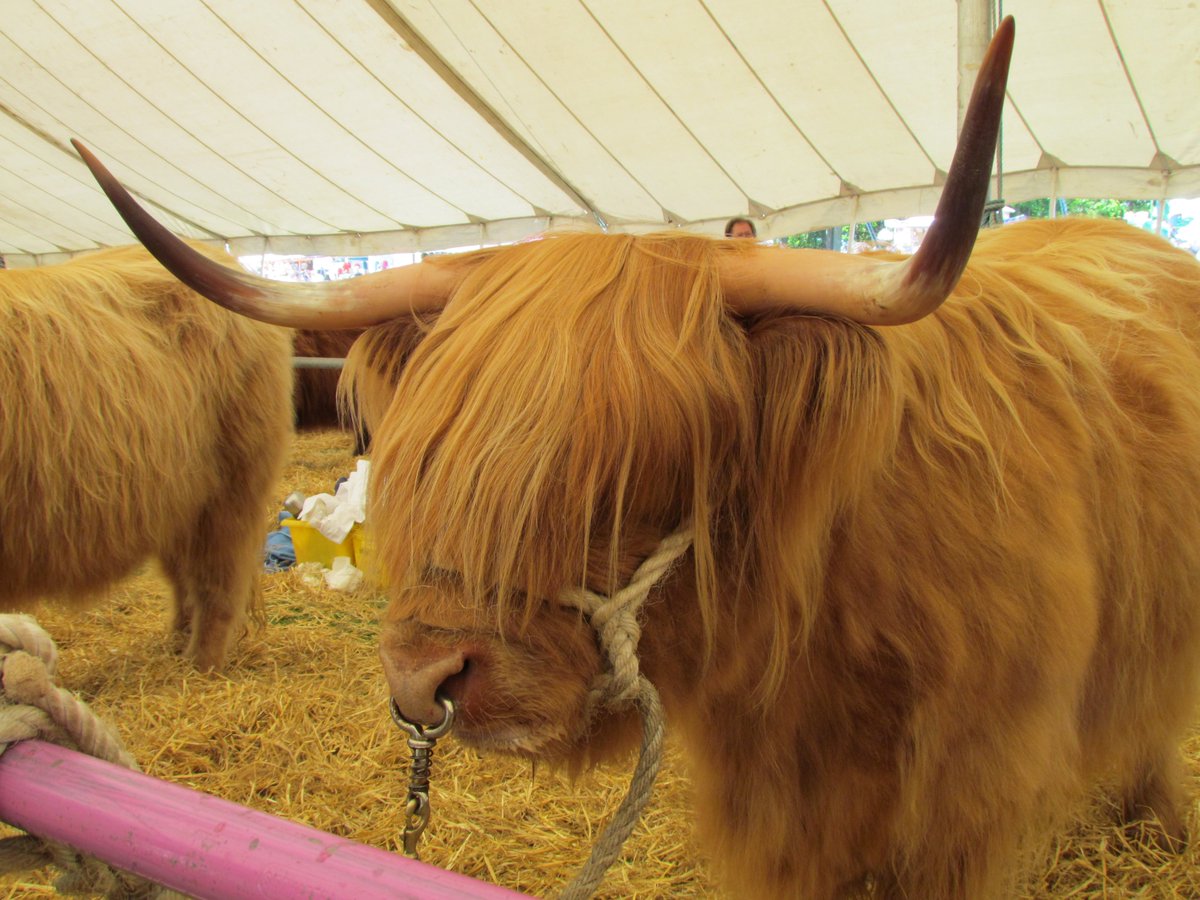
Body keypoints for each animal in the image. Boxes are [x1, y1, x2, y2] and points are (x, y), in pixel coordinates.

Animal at [0, 243, 293, 671]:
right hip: (177, 499)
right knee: (183, 576)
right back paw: (176, 641)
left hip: (232, 487)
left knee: (218, 578)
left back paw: (199, 665)